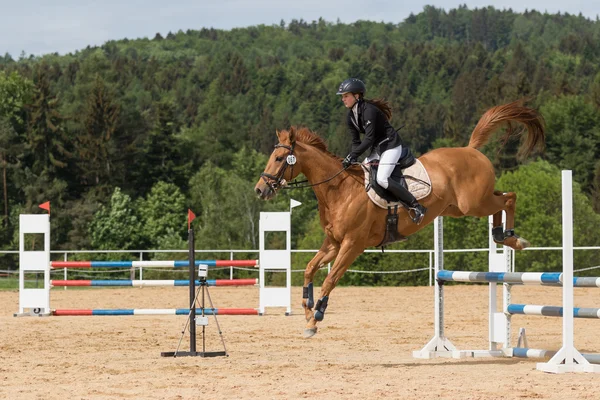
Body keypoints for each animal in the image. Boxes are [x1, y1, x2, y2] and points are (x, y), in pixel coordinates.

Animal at [253, 101, 544, 338]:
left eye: (279, 158)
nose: (260, 190)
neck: (339, 189)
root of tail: (469, 149)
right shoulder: (333, 243)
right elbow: (310, 269)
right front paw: (307, 310)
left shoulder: (352, 245)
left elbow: (331, 278)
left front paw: (316, 317)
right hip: (459, 208)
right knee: (501, 199)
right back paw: (501, 235)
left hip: (473, 203)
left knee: (509, 198)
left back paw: (514, 239)